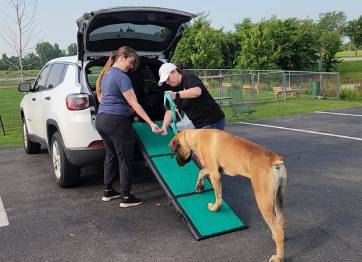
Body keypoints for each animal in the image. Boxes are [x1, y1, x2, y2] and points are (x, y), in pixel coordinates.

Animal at [170, 129, 288, 262]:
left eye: (175, 152)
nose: (178, 164)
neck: (196, 136)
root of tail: (274, 159)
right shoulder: (214, 170)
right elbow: (202, 171)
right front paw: (199, 186)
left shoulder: (215, 174)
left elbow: (218, 197)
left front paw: (214, 208)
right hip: (278, 198)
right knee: (281, 223)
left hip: (264, 203)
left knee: (278, 232)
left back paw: (279, 256)